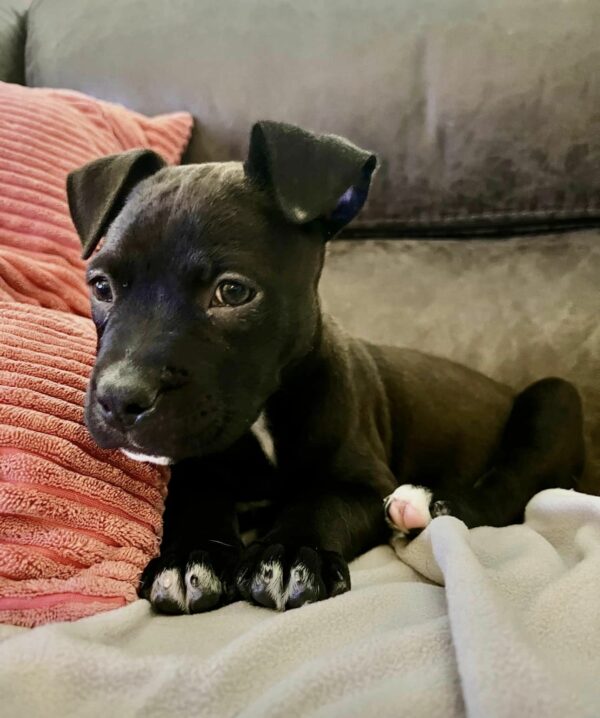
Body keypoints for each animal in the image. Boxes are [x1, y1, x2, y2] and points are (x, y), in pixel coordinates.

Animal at [67, 121, 584, 616]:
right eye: (101, 286)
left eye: (232, 292)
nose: (118, 399)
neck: (263, 419)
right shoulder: (199, 464)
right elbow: (193, 499)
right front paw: (189, 557)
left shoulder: (363, 482)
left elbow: (321, 503)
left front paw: (292, 552)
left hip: (556, 397)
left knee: (501, 497)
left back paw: (427, 504)